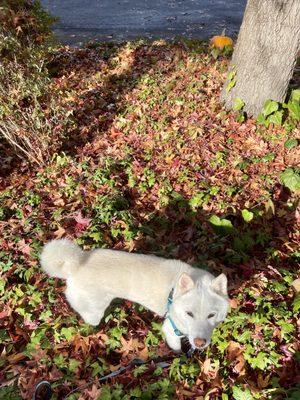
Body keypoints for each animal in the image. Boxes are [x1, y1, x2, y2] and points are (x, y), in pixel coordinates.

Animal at [39, 239, 227, 352]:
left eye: (211, 315)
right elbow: (177, 350)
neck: (173, 294)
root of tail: (74, 266)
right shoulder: (171, 330)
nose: (200, 342)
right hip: (93, 312)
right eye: (189, 314)